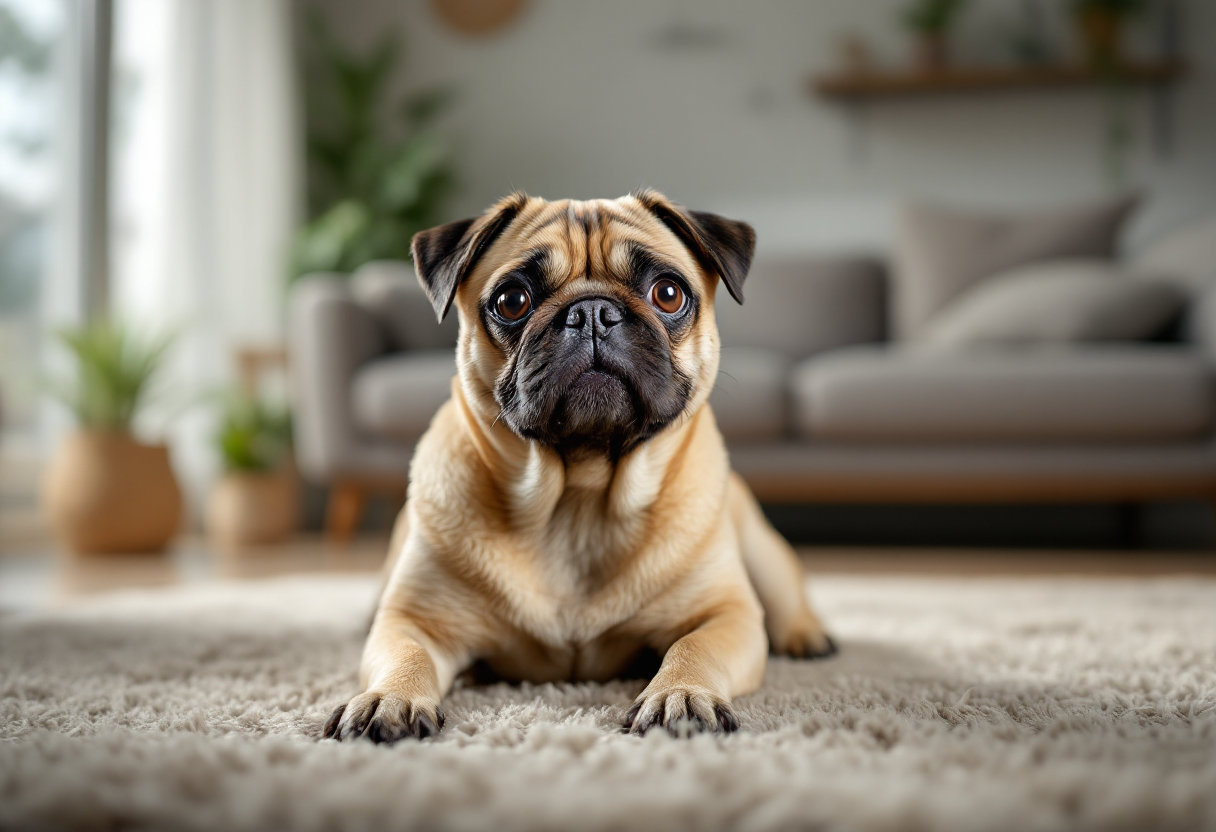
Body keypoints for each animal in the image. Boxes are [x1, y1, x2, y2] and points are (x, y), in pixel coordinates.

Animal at [323, 189, 836, 739]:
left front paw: (679, 695)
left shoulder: (727, 616)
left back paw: (809, 637)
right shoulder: (416, 622)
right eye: (512, 301)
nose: (591, 312)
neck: (577, 502)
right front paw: (388, 699)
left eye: (668, 294)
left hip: (761, 554)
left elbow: (693, 647)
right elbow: (407, 655)